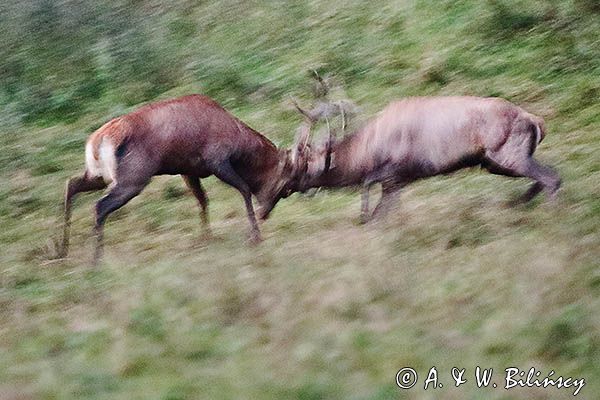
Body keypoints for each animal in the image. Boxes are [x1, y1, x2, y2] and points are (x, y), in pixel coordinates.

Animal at [59, 95, 304, 264]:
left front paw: (207, 238)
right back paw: (95, 260)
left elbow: (202, 200)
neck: (239, 143)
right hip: (132, 178)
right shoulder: (217, 160)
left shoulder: (188, 170)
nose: (266, 213)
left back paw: (61, 250)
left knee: (71, 184)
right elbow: (244, 189)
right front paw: (255, 237)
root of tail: (96, 141)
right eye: (286, 186)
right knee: (99, 206)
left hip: (99, 175)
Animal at [292, 95, 560, 223]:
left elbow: (372, 204)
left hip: (508, 154)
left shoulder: (394, 171)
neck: (367, 150)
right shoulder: (400, 179)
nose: (290, 189)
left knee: (551, 177)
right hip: (495, 162)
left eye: (302, 168)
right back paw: (518, 204)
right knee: (550, 173)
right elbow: (380, 211)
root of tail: (537, 121)